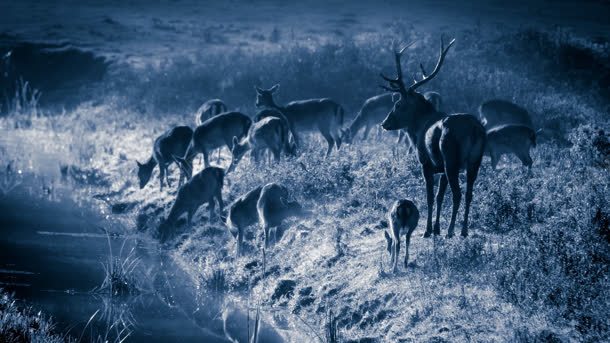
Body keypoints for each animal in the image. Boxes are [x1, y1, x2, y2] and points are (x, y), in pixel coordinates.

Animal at [380, 37, 484, 238]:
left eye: (398, 105)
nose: (384, 123)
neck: (418, 128)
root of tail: (474, 129)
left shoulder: (426, 163)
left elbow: (429, 196)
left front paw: (428, 230)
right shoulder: (441, 168)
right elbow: (439, 196)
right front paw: (436, 228)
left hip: (452, 159)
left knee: (458, 194)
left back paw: (451, 230)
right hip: (475, 160)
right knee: (469, 193)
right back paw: (464, 230)